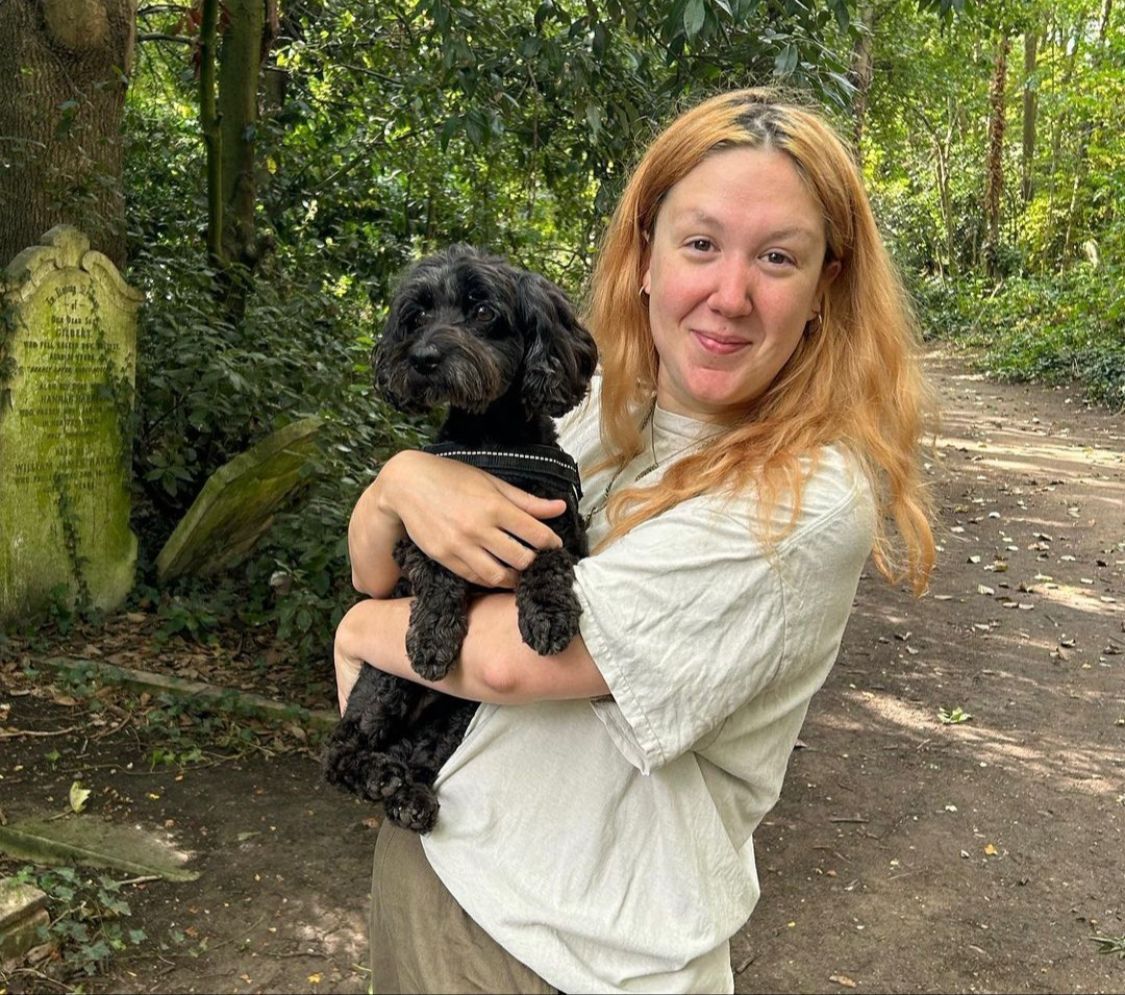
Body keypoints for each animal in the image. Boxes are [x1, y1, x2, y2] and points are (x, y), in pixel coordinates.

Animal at [321, 246, 598, 832]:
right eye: (416, 315)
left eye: (483, 310)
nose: (422, 358)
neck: (492, 438)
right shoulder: (421, 527)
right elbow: (439, 570)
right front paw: (432, 636)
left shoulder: (565, 525)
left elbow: (547, 553)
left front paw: (547, 613)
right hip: (386, 683)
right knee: (340, 749)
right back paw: (378, 775)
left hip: (455, 715)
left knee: (417, 758)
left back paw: (408, 795)